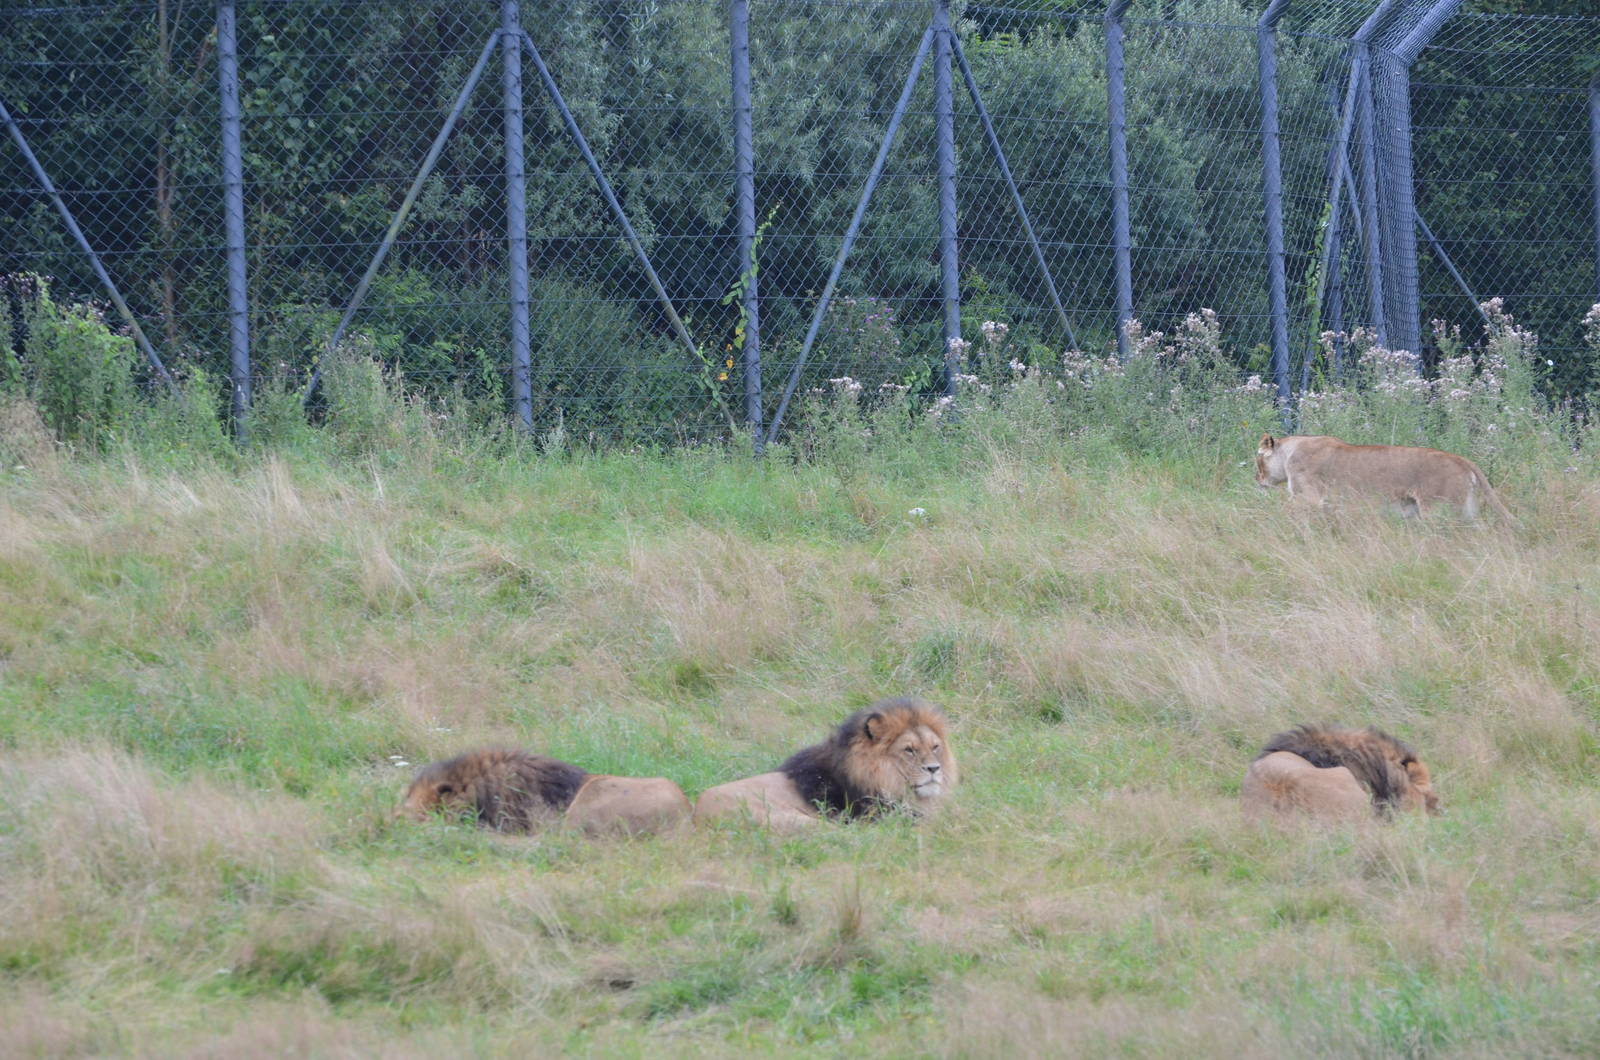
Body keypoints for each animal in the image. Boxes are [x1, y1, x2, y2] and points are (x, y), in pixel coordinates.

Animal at [1255, 434, 1512, 521]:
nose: (1256, 478)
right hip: (1465, 511)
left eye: (1258, 461)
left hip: (1438, 510)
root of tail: (1462, 459)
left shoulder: (1308, 496)